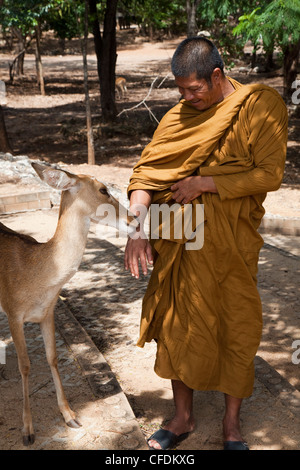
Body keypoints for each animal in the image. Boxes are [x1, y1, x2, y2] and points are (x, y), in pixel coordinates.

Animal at [0, 163, 138, 446]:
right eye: (103, 189)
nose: (135, 220)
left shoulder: (48, 312)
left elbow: (52, 357)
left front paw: (71, 416)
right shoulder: (13, 312)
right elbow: (25, 365)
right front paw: (27, 431)